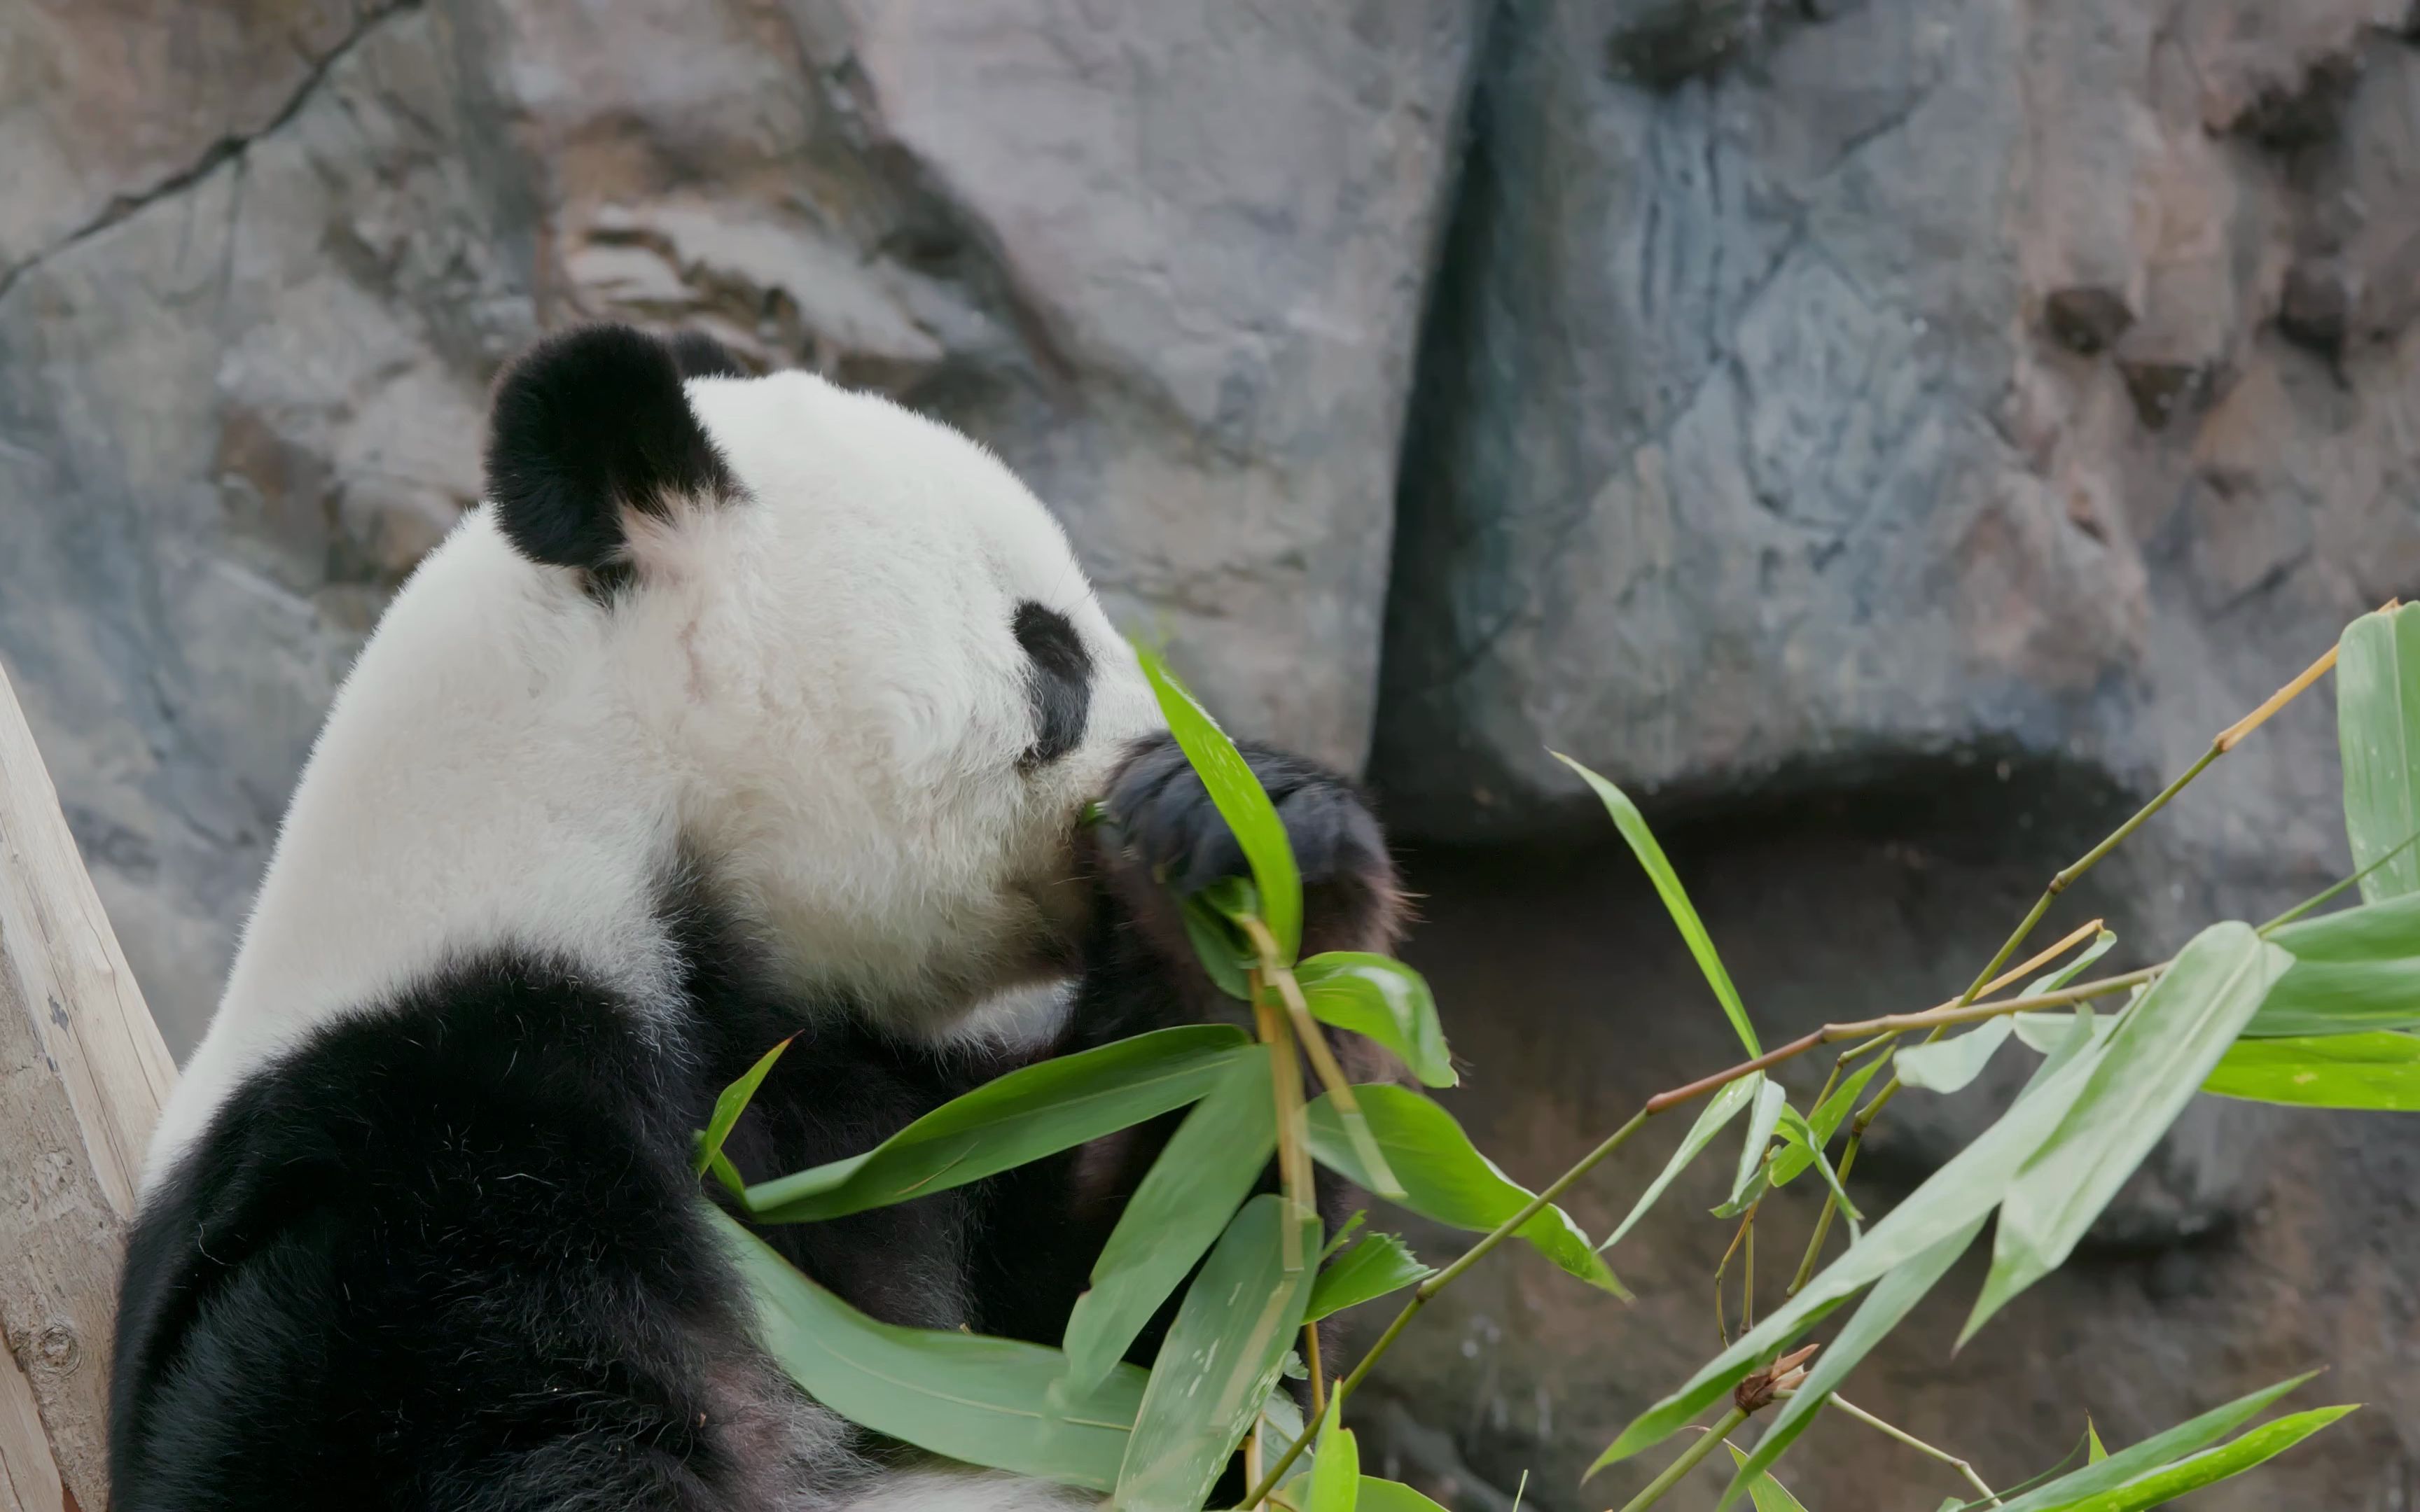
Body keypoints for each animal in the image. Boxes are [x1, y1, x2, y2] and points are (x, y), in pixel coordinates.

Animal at [113, 324, 1403, 1499]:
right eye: (1051, 652)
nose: (1172, 746)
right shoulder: (429, 1137)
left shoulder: (887, 1127)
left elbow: (1146, 1325)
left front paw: (1249, 846)